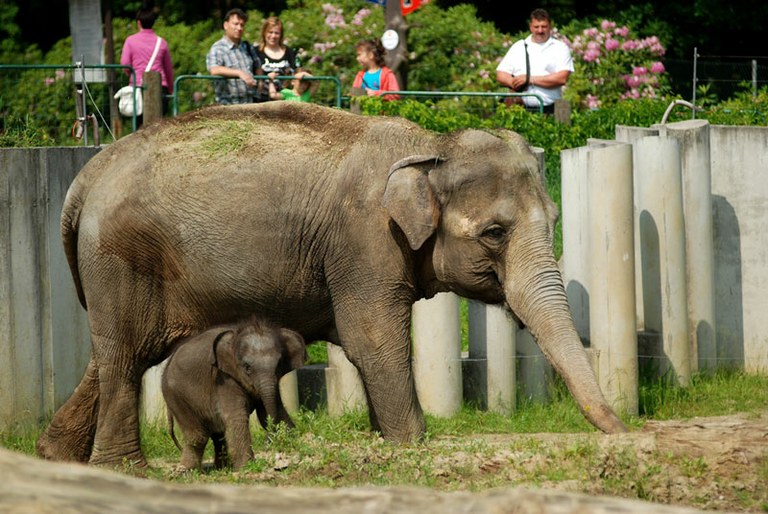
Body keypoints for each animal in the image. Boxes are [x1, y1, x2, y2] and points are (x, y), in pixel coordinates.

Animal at [162, 314, 306, 466]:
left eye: (279, 365)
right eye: (247, 367)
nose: (268, 441)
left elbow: (271, 411)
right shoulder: (223, 378)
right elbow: (237, 416)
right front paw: (246, 466)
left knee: (218, 432)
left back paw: (222, 467)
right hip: (175, 396)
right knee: (197, 436)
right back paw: (187, 470)